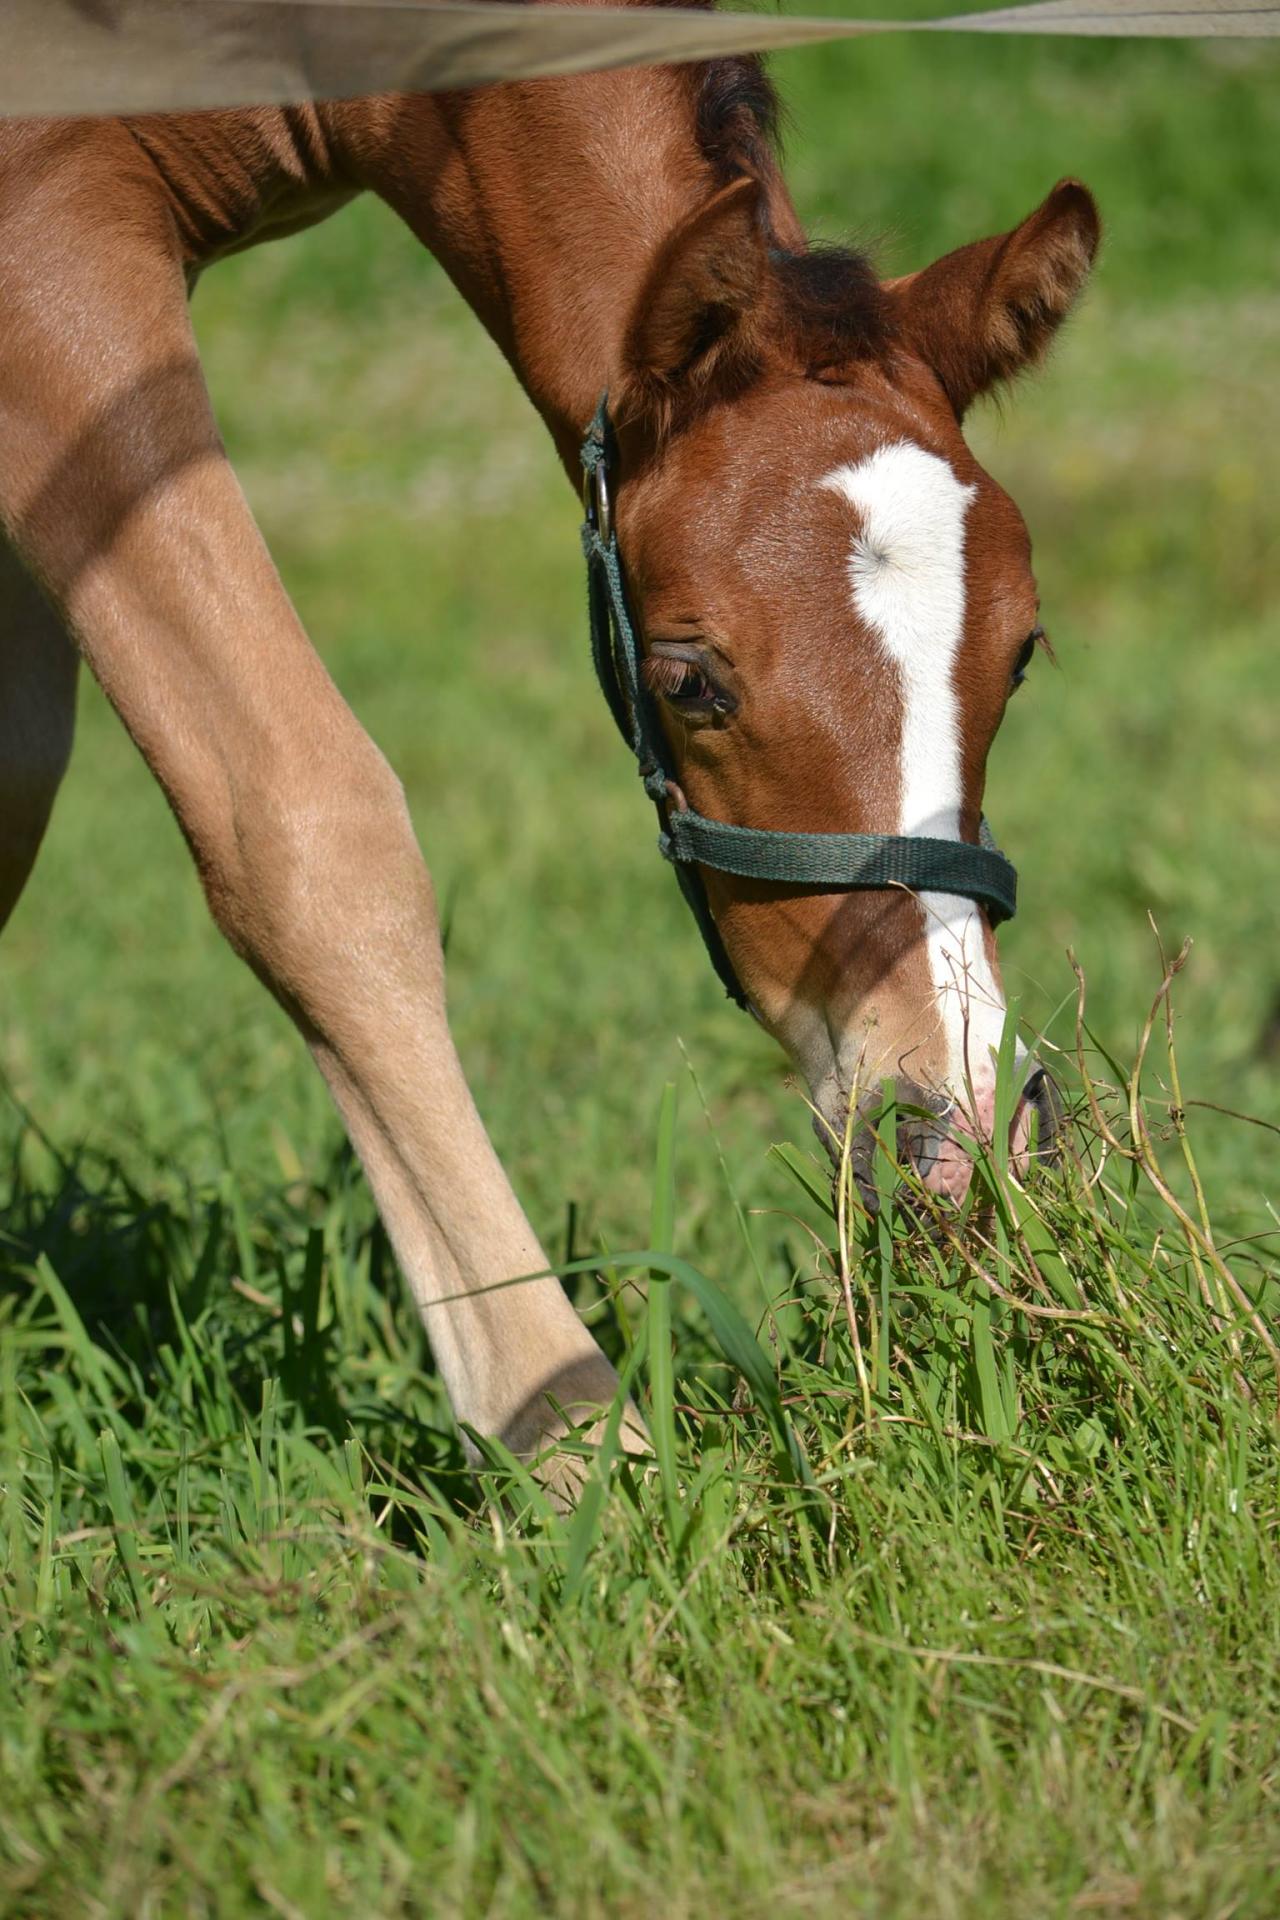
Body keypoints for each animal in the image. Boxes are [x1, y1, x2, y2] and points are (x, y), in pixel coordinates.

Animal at [0, 15, 1105, 1474]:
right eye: (688, 679)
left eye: (1019, 654)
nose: (956, 1132)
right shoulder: (51, 242)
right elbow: (305, 823)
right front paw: (566, 1423)